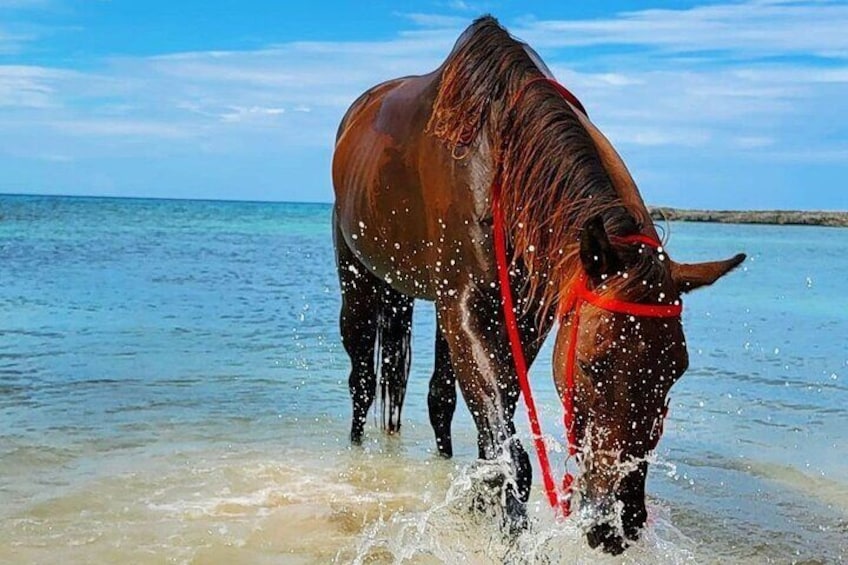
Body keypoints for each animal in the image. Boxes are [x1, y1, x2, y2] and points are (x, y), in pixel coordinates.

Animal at [332, 15, 744, 552]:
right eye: (591, 365)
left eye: (675, 372)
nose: (619, 522)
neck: (504, 161)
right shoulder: (466, 308)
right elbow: (510, 454)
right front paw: (509, 533)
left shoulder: (523, 321)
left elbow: (493, 431)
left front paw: (480, 504)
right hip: (360, 284)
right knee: (362, 381)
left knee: (438, 399)